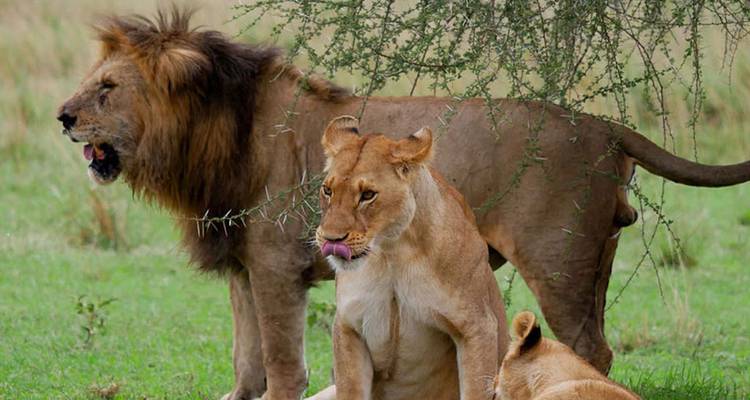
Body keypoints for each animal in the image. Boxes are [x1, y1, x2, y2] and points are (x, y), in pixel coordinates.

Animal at [306, 116, 508, 400]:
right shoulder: (348, 326)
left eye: (367, 195)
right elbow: (351, 389)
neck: (392, 251)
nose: (331, 240)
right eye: (327, 190)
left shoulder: (477, 327)